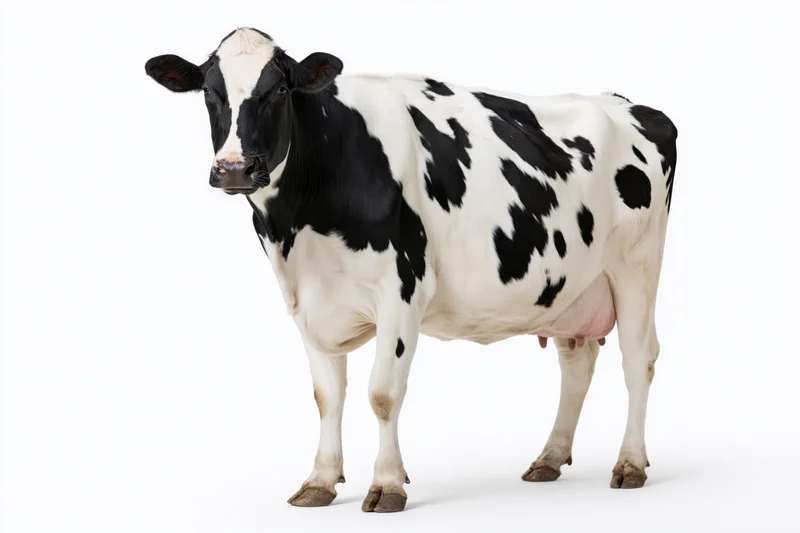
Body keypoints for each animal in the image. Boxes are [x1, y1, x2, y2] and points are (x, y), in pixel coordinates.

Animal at [144, 27, 678, 513]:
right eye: (209, 91)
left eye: (278, 90)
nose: (234, 168)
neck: (299, 227)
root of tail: (628, 103)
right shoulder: (307, 300)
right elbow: (326, 396)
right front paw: (320, 481)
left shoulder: (402, 288)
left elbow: (382, 392)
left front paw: (387, 485)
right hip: (572, 285)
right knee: (576, 361)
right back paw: (549, 457)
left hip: (637, 266)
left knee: (639, 359)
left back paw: (630, 463)